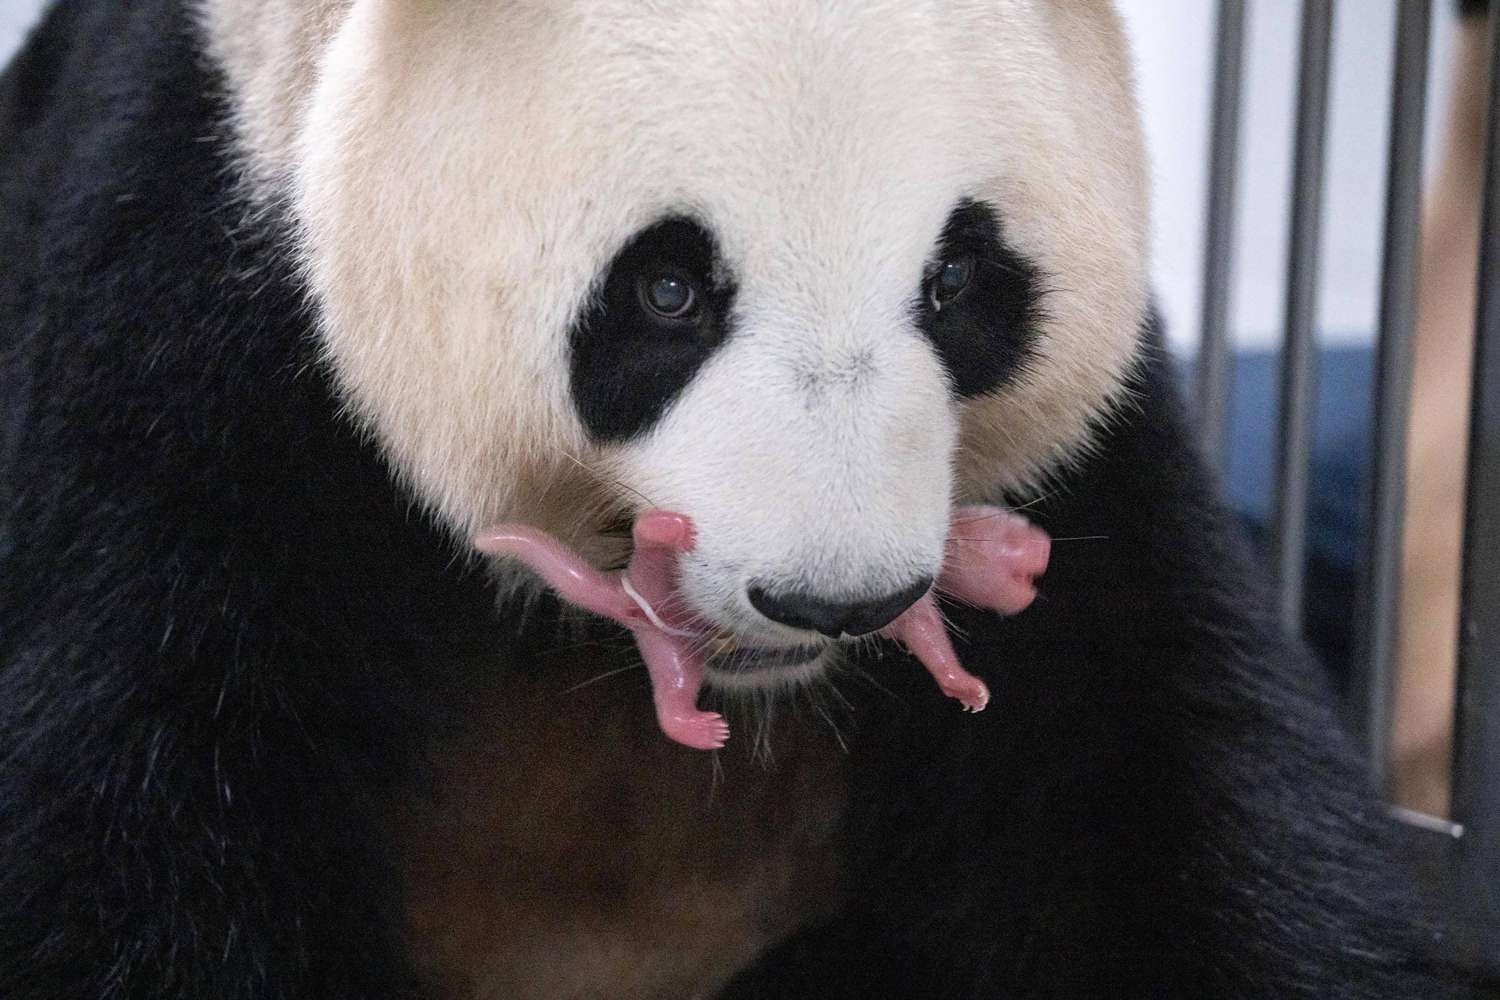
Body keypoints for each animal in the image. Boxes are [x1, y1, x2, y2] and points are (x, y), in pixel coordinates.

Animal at [0, 0, 1488, 995]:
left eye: (959, 280)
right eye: (668, 289)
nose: (841, 598)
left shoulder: (1086, 488)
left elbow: (1173, 786)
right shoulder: (187, 322)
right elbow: (138, 819)